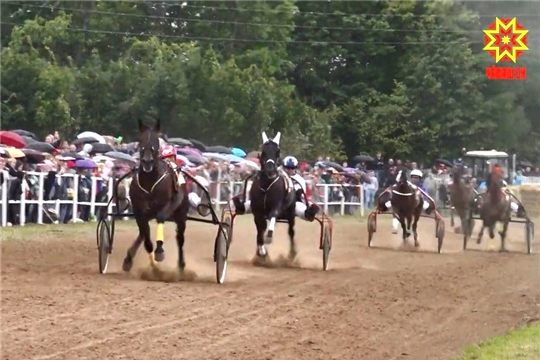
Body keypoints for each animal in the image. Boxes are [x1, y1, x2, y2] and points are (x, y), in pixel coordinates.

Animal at [122, 118, 190, 272]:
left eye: (156, 141)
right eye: (140, 140)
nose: (147, 161)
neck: (149, 181)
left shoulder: (167, 205)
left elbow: (160, 218)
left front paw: (159, 251)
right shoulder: (139, 210)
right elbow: (145, 235)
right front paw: (151, 262)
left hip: (181, 214)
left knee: (180, 238)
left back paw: (181, 264)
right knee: (143, 233)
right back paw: (129, 259)